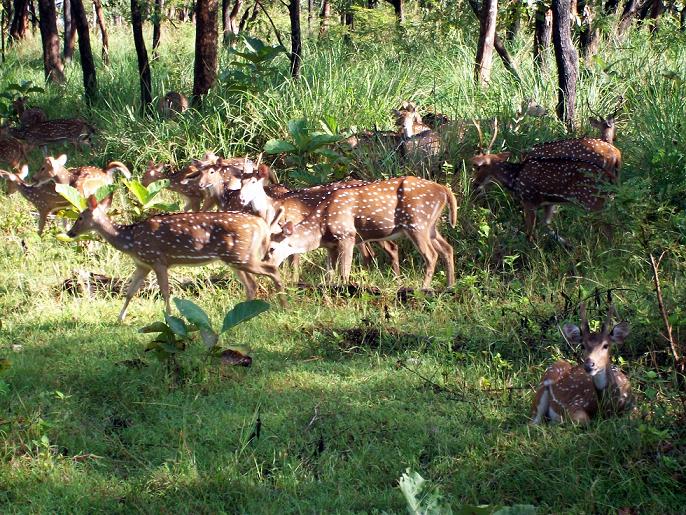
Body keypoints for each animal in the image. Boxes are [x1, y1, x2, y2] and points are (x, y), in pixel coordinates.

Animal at [66, 195, 286, 321]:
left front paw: (169, 318)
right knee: (252, 284)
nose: (70, 232)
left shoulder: (158, 259)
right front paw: (119, 319)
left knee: (272, 270)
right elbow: (129, 292)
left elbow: (165, 291)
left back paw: (283, 306)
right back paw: (242, 313)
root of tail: (262, 225)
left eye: (80, 217)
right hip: (235, 258)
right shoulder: (143, 264)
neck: (130, 241)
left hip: (240, 255)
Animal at [264, 176, 457, 289]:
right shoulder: (331, 246)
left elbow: (344, 271)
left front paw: (346, 290)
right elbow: (329, 274)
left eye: (271, 248)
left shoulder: (347, 235)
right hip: (431, 227)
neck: (321, 227)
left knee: (431, 255)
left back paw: (424, 287)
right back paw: (450, 285)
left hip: (417, 222)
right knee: (447, 248)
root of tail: (444, 190)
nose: (266, 267)